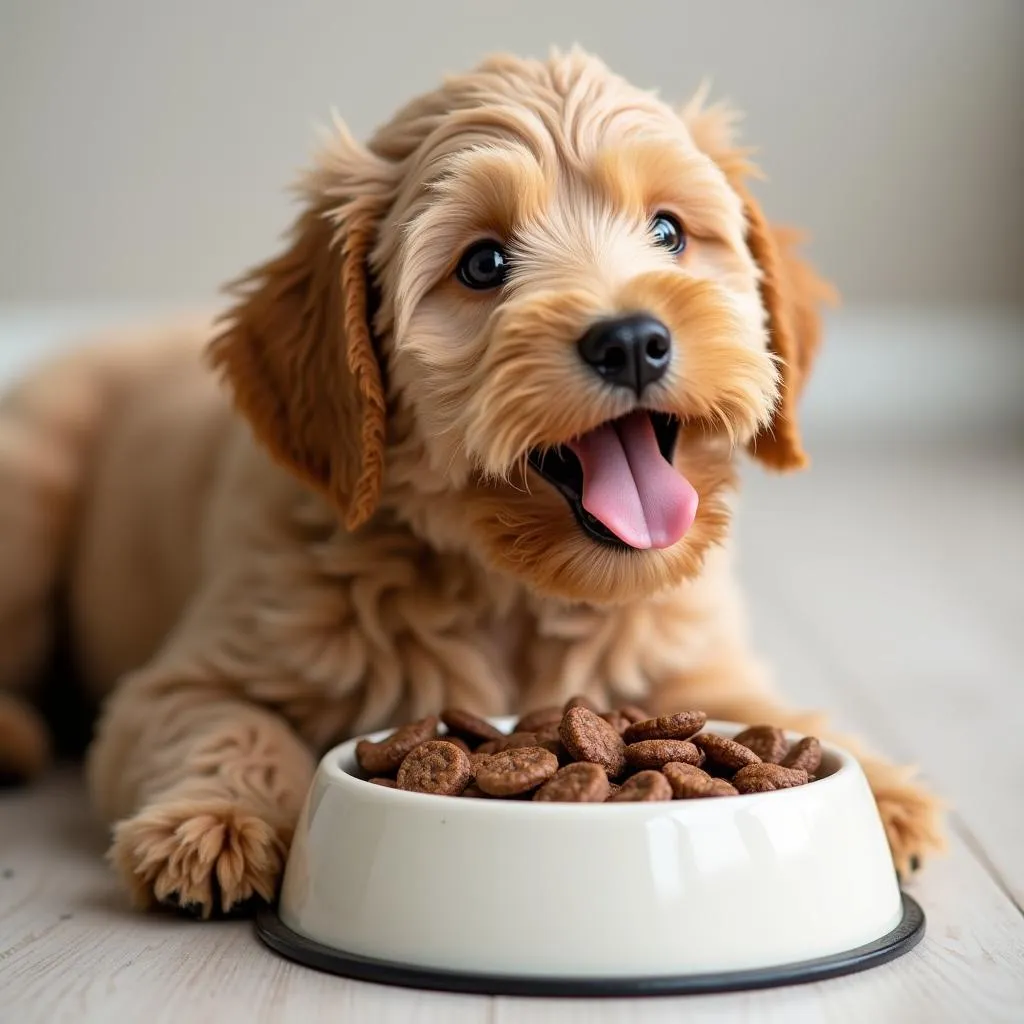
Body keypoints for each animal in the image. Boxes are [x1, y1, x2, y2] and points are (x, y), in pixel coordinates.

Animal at [0, 48, 942, 917]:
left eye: (670, 233)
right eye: (484, 264)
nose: (632, 341)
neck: (513, 593)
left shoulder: (691, 660)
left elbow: (767, 710)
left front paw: (877, 785)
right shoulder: (176, 683)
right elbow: (231, 724)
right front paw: (215, 822)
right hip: (30, 495)